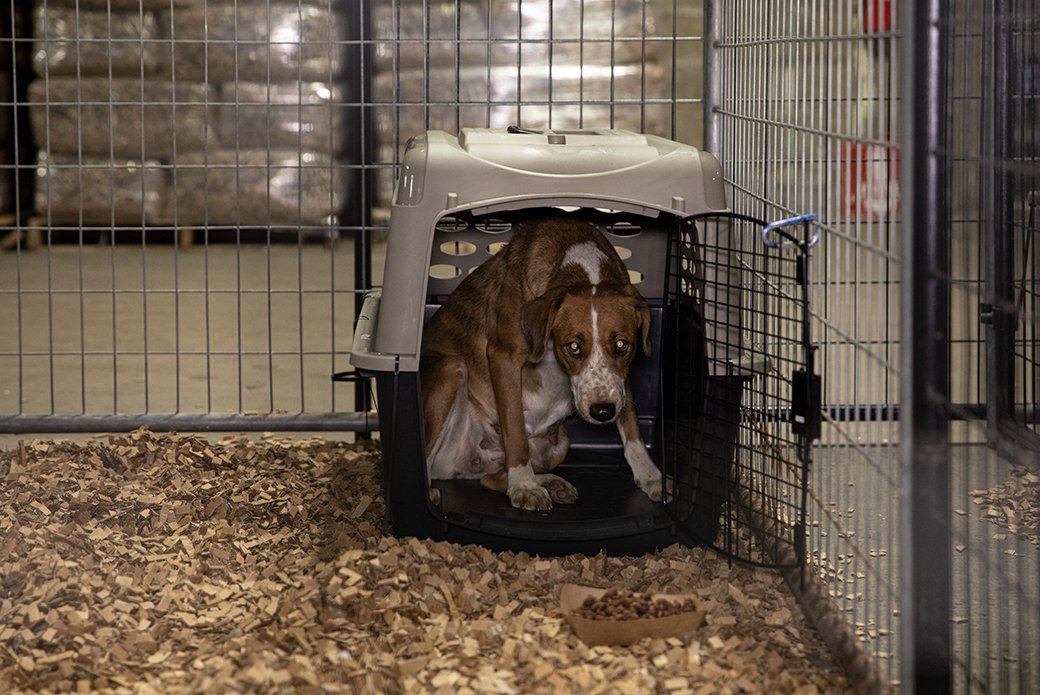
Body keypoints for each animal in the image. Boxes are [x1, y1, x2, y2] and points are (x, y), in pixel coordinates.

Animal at [418, 217, 661, 509]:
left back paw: (551, 484)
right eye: (573, 346)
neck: (583, 266)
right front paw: (524, 486)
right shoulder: (504, 357)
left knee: (489, 480)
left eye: (622, 345)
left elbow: (631, 422)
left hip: (560, 443)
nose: (602, 412)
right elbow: (515, 433)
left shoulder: (622, 378)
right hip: (450, 369)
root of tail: (452, 466)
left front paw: (648, 474)